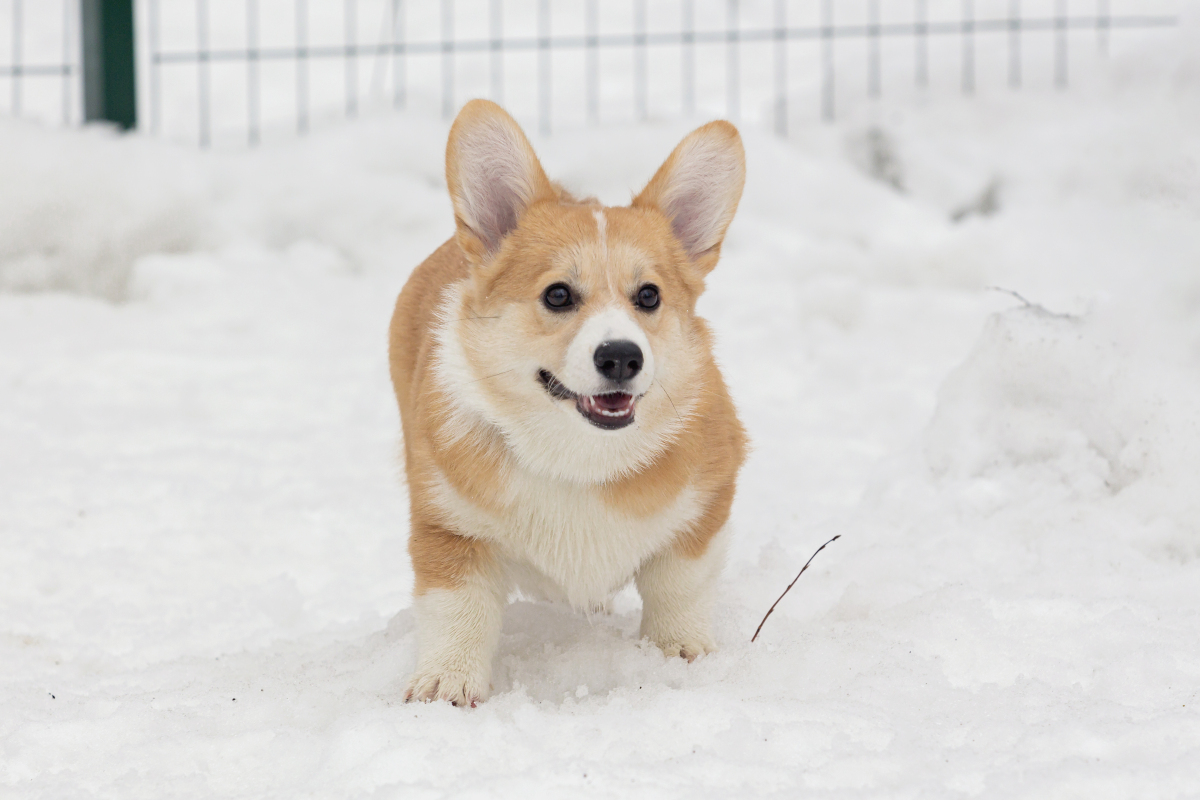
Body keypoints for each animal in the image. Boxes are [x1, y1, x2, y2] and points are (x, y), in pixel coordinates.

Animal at [388, 100, 744, 705]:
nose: (622, 356)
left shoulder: (707, 503)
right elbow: (457, 611)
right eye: (557, 295)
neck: (577, 457)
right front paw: (445, 682)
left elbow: (680, 585)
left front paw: (679, 654)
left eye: (649, 295)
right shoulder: (448, 527)